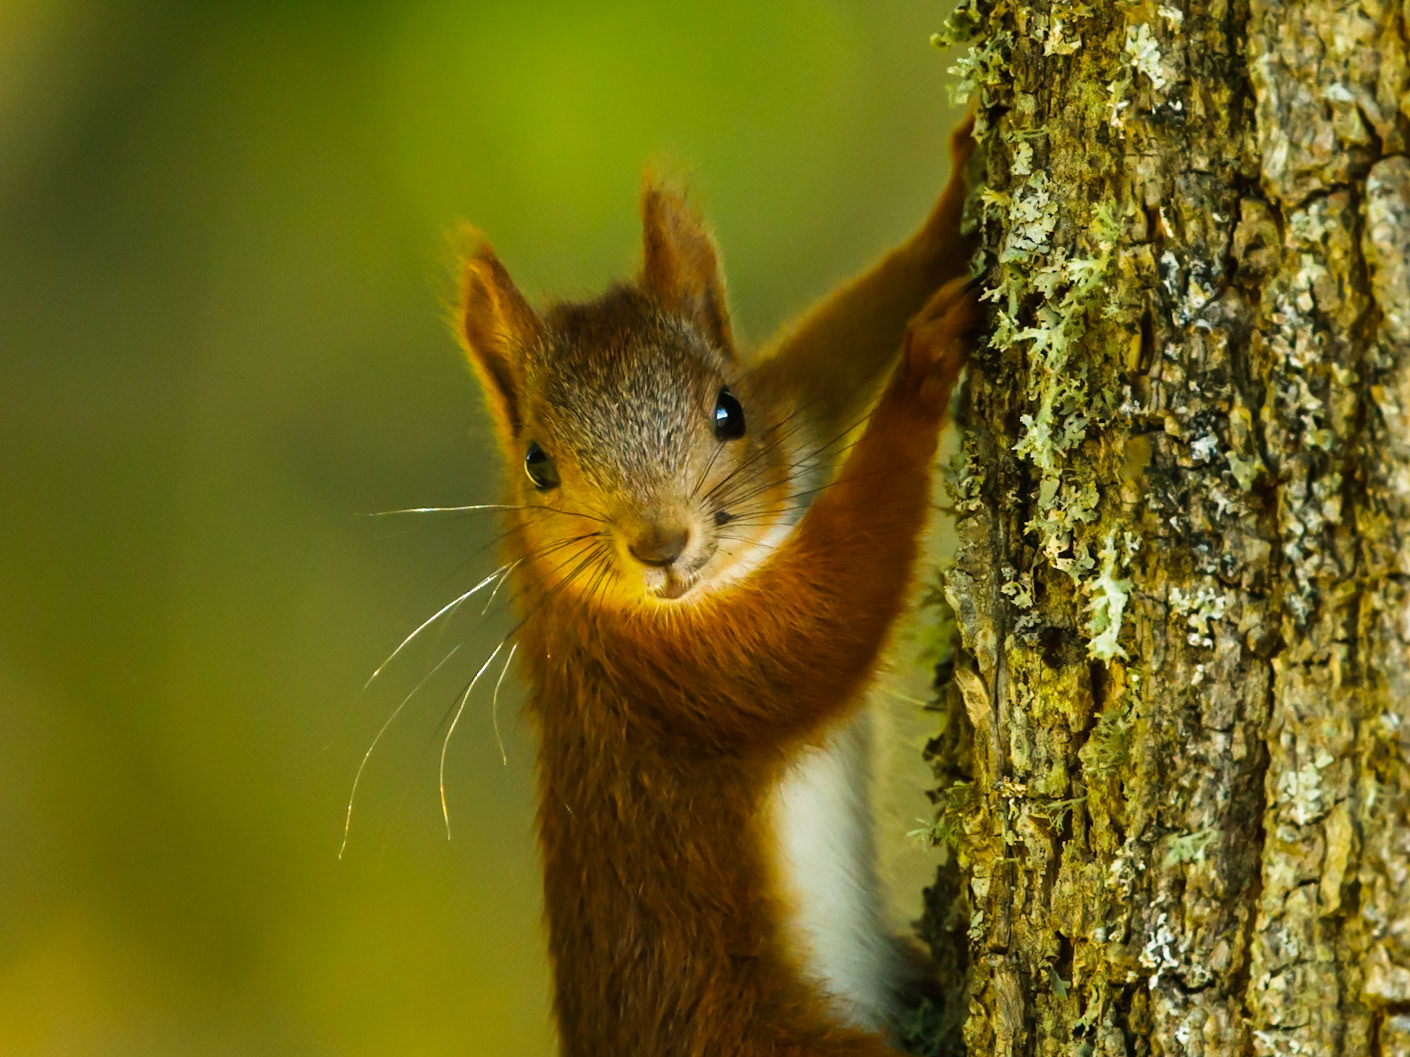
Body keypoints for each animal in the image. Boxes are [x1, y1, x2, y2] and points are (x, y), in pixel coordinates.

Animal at [453, 117, 977, 1056]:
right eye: (538, 463)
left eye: (728, 410)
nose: (659, 545)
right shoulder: (674, 675)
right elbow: (826, 618)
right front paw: (920, 377)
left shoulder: (788, 414)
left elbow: (838, 338)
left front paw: (955, 198)